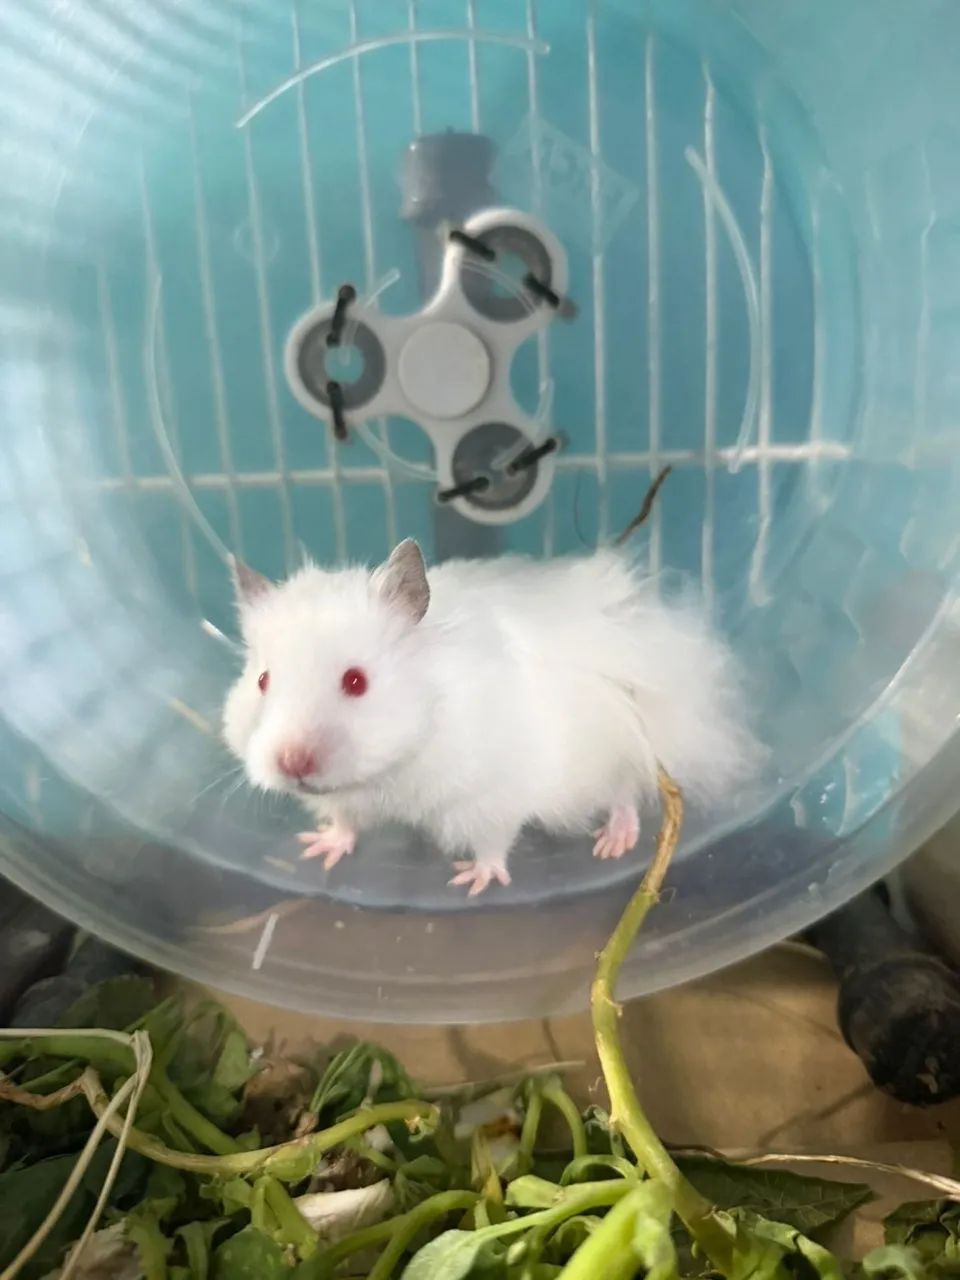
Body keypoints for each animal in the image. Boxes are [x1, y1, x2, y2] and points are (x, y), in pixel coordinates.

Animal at [223, 539, 762, 895]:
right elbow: (345, 822)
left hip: (620, 737)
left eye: (356, 681)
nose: (293, 764)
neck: (395, 762)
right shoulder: (347, 800)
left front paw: (471, 882)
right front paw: (317, 846)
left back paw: (613, 844)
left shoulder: (490, 796)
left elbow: (493, 842)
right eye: (263, 680)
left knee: (629, 787)